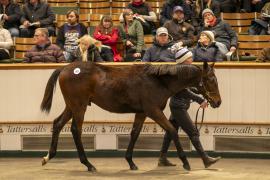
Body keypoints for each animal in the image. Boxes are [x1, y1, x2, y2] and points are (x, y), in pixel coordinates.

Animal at [40, 61, 221, 172]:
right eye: (211, 80)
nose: (218, 102)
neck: (158, 81)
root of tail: (65, 68)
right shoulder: (153, 111)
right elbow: (172, 131)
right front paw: (186, 162)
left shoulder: (141, 112)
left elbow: (135, 133)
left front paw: (131, 162)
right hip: (79, 107)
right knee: (75, 130)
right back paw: (88, 164)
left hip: (72, 106)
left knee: (57, 123)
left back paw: (48, 157)